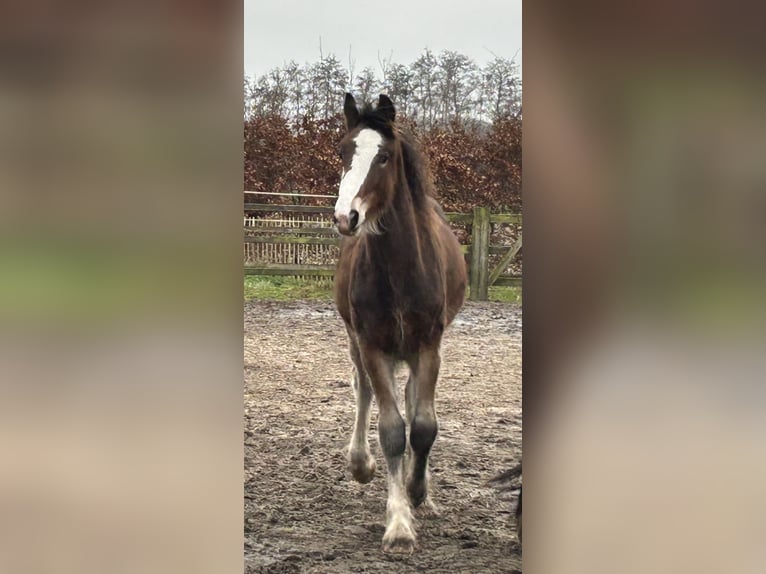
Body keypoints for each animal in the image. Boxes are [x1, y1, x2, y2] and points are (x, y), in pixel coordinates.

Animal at [332, 93, 464, 552]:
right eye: (343, 151)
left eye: (384, 156)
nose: (346, 217)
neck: (401, 268)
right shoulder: (373, 344)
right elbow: (392, 429)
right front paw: (399, 523)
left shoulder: (428, 345)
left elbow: (422, 426)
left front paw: (418, 491)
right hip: (356, 340)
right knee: (364, 389)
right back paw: (360, 463)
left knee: (410, 398)